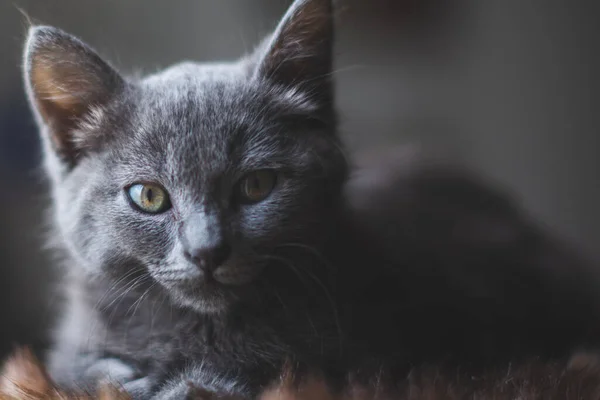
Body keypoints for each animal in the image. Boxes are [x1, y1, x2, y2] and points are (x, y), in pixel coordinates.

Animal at [21, 0, 600, 398]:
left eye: (256, 185)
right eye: (149, 196)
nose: (207, 251)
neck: (203, 330)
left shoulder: (372, 350)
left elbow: (288, 368)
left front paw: (194, 384)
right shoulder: (69, 344)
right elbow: (77, 370)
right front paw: (131, 379)